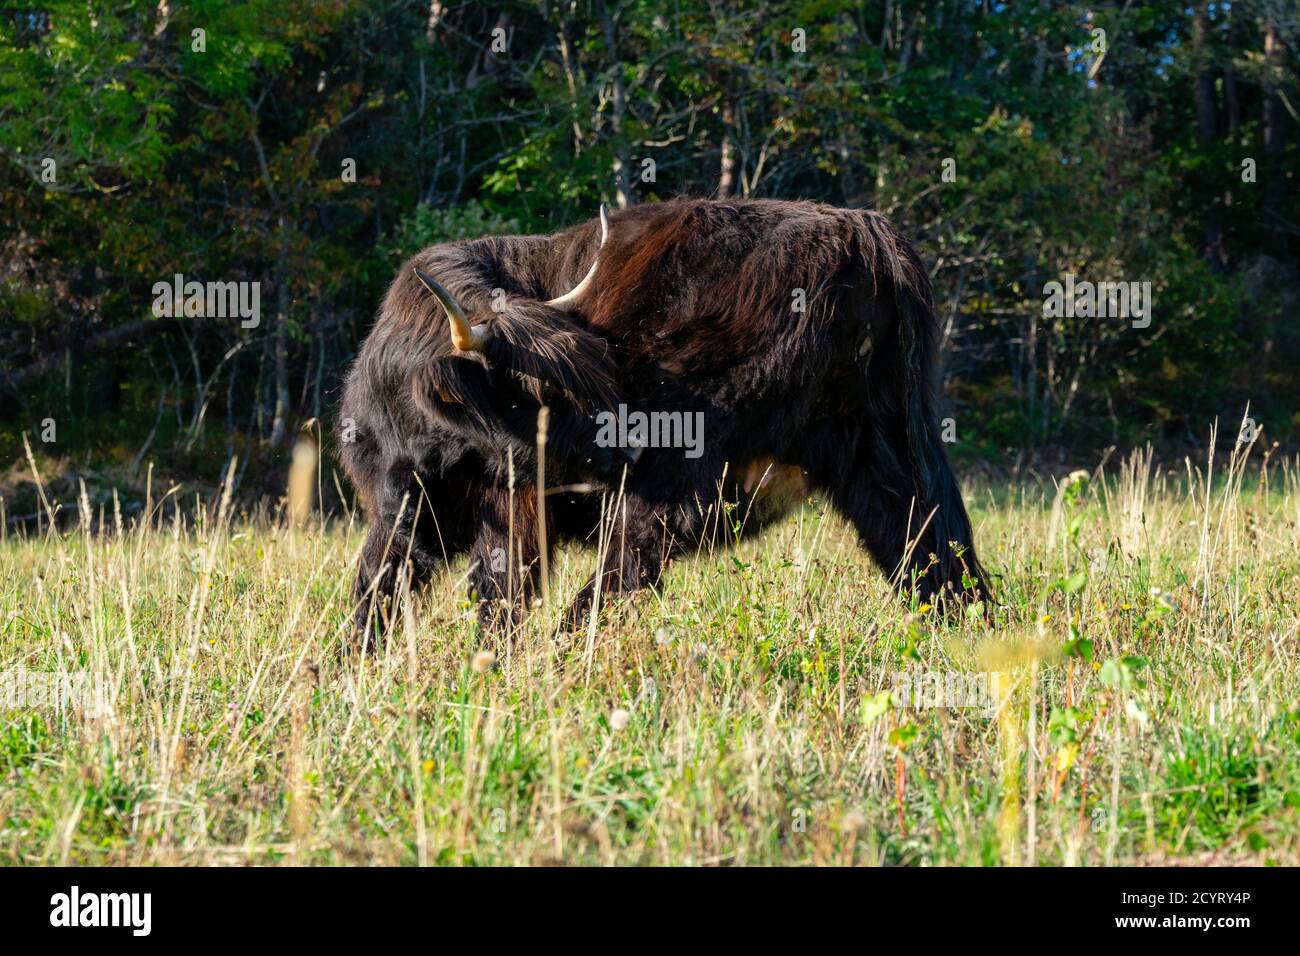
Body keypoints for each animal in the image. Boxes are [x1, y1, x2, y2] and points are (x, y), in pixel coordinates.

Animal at [337, 198, 990, 646]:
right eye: (541, 394)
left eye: (600, 376)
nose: (622, 447)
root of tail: (863, 234)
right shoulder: (412, 507)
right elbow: (387, 587)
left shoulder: (501, 510)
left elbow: (481, 595)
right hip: (888, 449)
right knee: (935, 548)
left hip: (681, 472)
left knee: (627, 567)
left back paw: (566, 655)